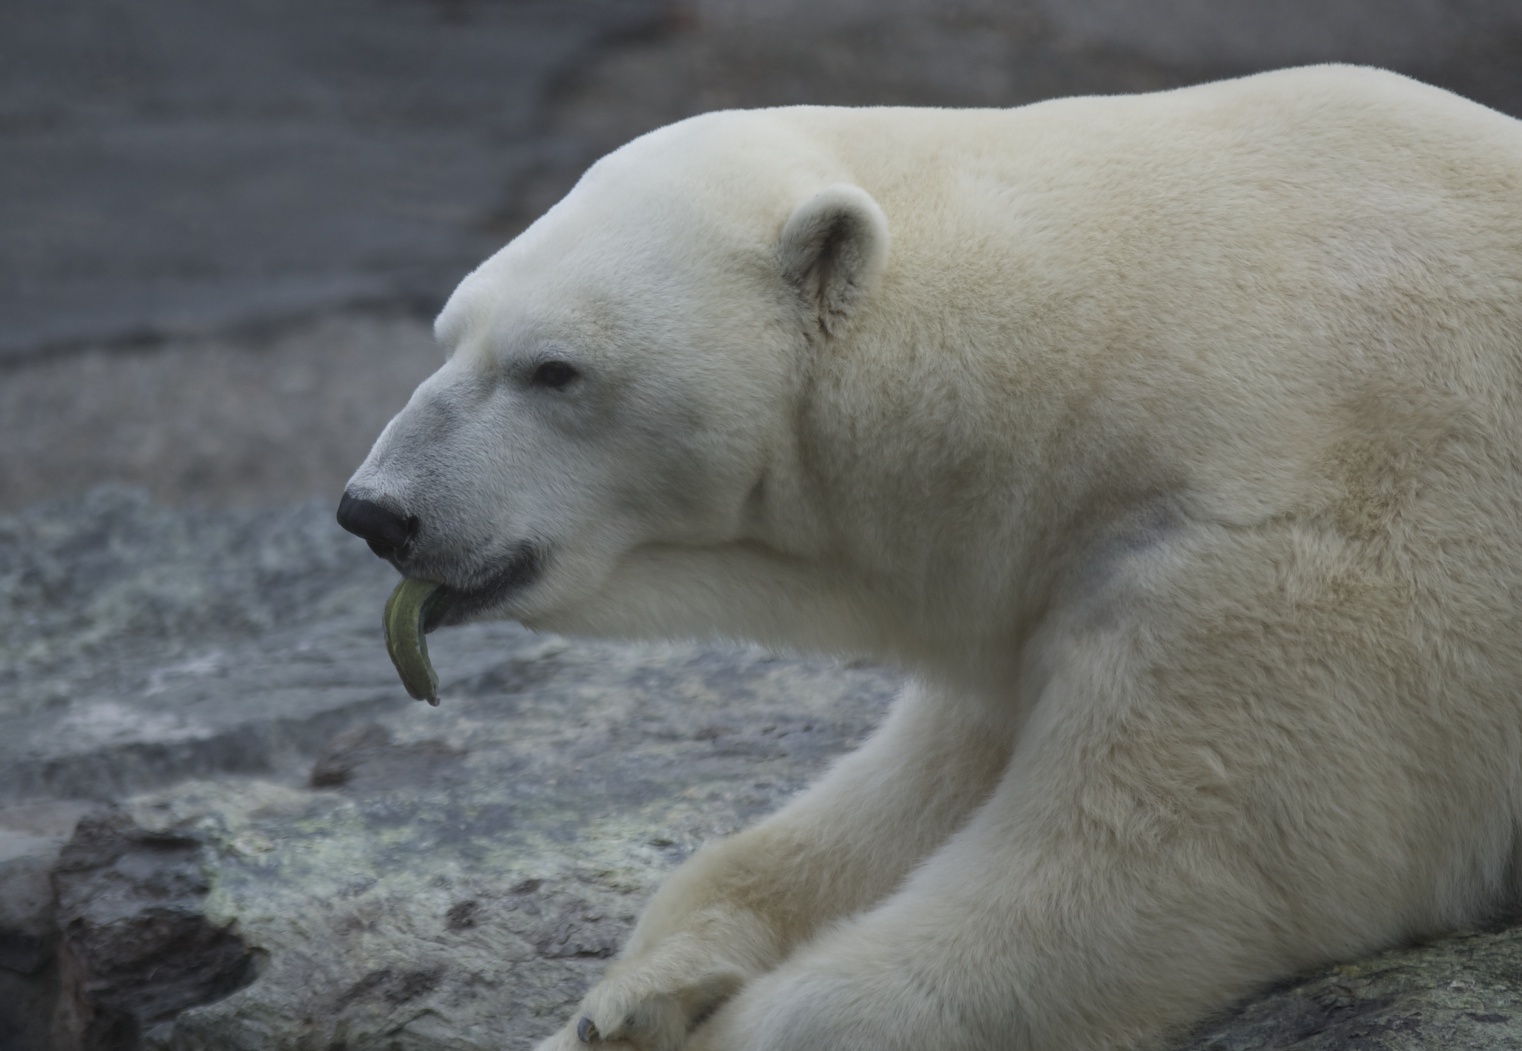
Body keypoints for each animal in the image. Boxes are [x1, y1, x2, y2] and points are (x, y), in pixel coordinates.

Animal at [342, 67, 1522, 1051]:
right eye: (448, 334)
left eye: (555, 369)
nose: (376, 512)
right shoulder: (1035, 579)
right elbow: (902, 796)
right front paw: (642, 988)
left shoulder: (1304, 546)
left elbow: (1141, 875)